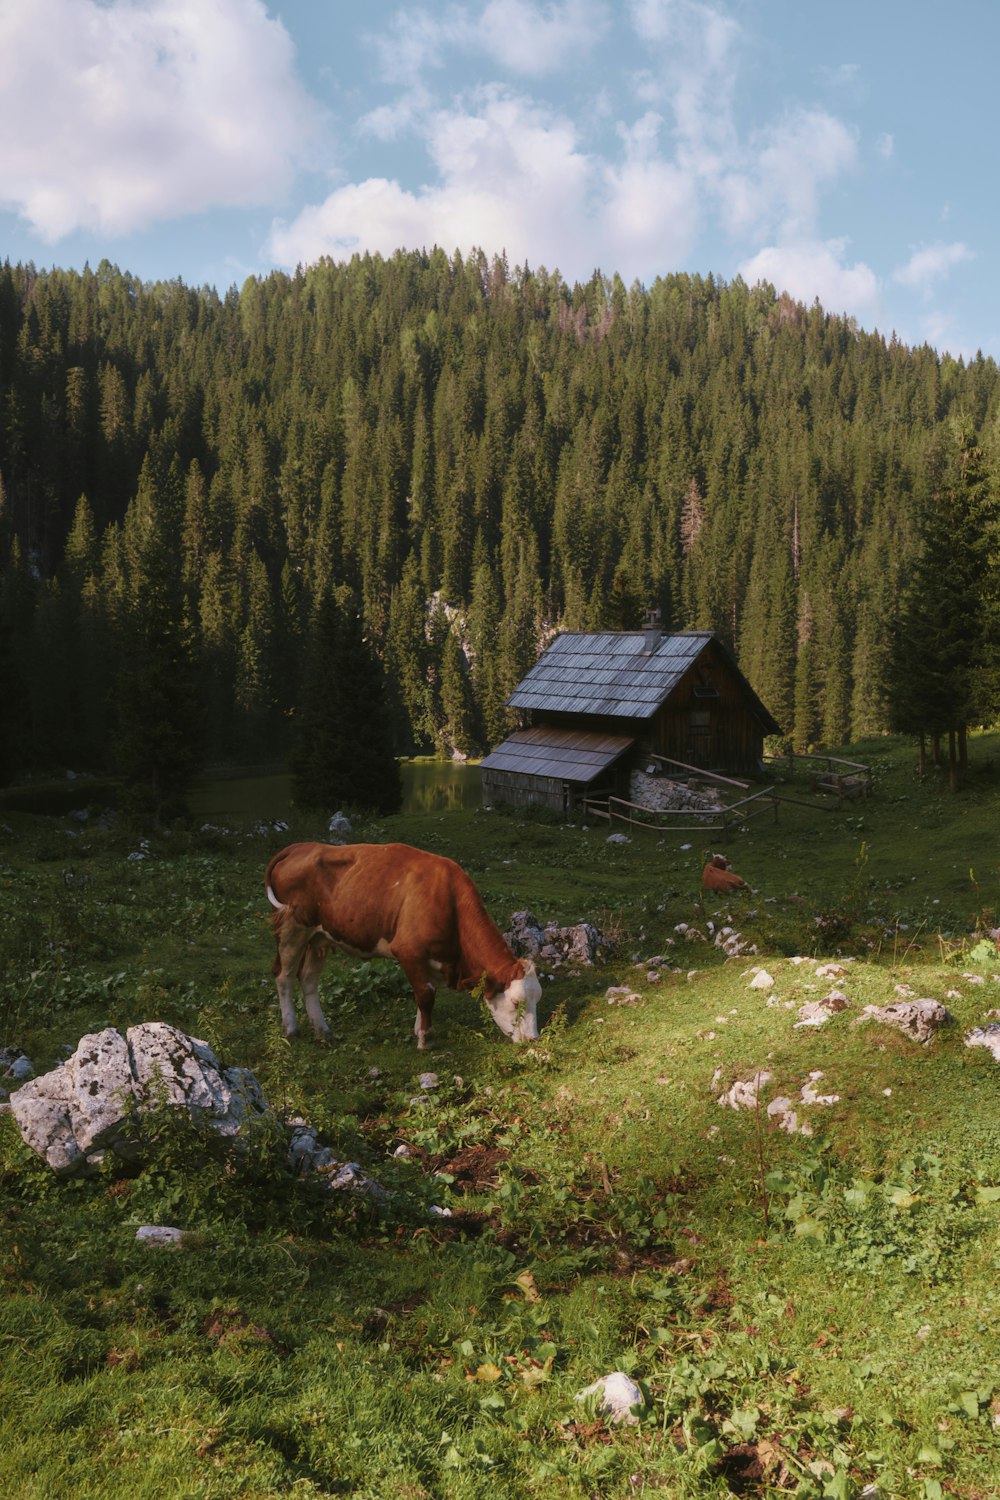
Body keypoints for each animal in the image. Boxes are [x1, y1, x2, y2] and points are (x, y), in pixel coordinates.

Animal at [265, 840, 539, 1050]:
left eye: (538, 999)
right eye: (516, 1003)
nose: (533, 1040)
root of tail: (299, 846)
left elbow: (427, 992)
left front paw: (419, 1029)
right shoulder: (408, 951)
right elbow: (426, 995)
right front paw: (426, 1040)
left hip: (319, 937)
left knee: (308, 978)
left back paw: (322, 1030)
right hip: (292, 928)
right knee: (283, 975)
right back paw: (291, 1029)